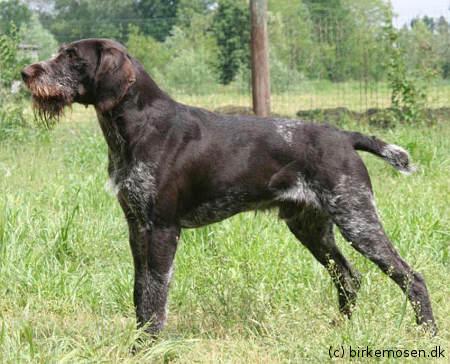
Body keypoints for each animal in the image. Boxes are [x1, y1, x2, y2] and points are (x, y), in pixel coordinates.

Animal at [21, 37, 436, 336]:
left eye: (72, 57)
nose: (25, 72)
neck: (137, 126)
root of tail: (344, 136)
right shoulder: (136, 226)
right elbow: (140, 291)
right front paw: (137, 340)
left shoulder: (163, 229)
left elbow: (156, 294)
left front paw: (148, 344)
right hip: (311, 227)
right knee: (349, 278)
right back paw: (340, 330)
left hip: (357, 219)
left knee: (411, 277)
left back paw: (427, 334)